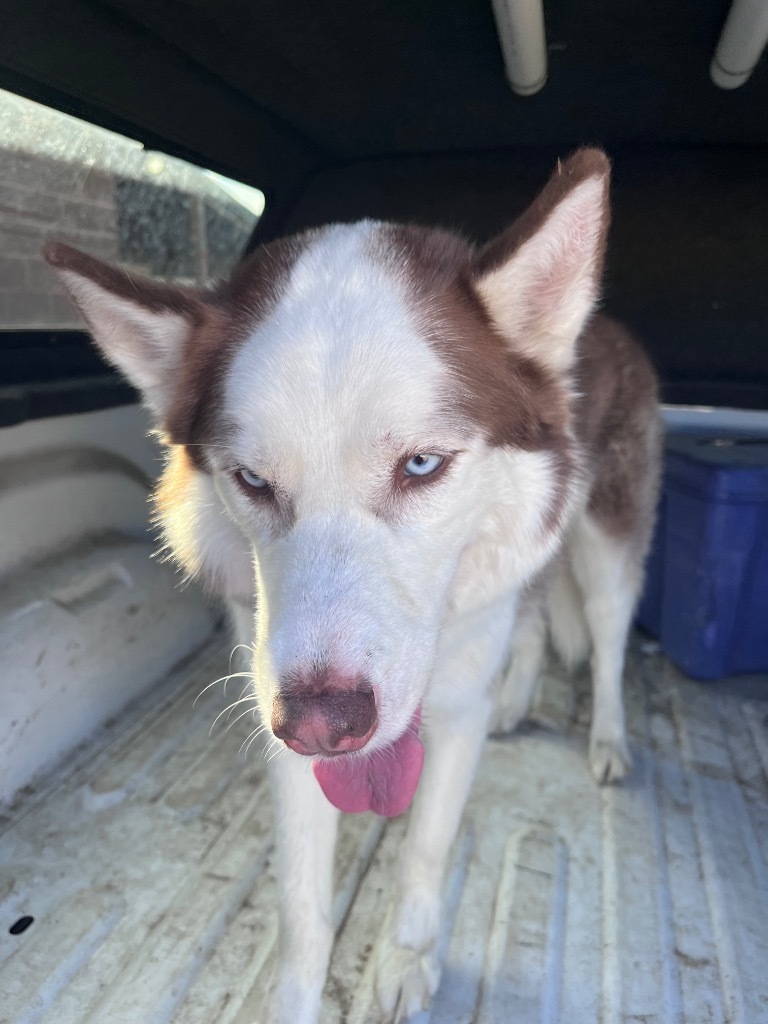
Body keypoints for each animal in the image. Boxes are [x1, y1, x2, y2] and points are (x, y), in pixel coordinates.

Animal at [46, 149, 663, 1024]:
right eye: (253, 480)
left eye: (421, 464)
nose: (324, 726)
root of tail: (600, 324)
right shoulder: (282, 718)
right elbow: (303, 907)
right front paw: (301, 994)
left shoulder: (450, 711)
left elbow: (427, 851)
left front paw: (405, 957)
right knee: (537, 624)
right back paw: (516, 703)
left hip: (607, 543)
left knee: (607, 643)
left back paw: (607, 739)